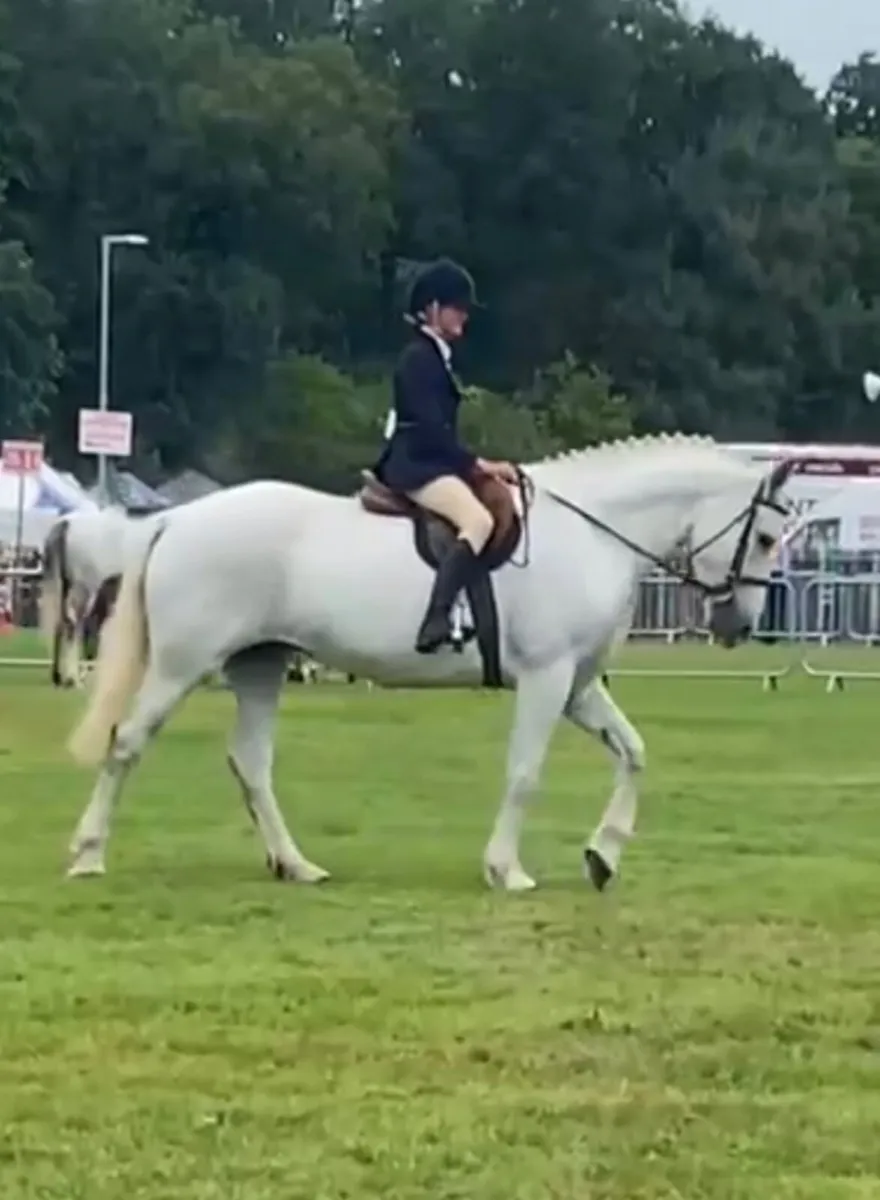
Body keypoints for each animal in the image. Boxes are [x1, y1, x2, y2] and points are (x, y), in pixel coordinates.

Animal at [40, 508, 162, 688]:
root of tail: (67, 522)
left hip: (67, 587)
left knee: (62, 624)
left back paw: (59, 677)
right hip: (84, 590)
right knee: (78, 628)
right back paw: (75, 678)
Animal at [64, 434, 794, 891]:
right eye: (763, 537)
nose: (738, 626)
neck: (593, 531)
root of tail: (176, 520)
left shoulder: (578, 686)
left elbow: (634, 753)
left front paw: (602, 857)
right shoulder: (547, 678)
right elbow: (524, 774)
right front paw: (506, 870)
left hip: (260, 666)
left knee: (250, 763)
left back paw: (296, 865)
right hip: (182, 665)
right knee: (127, 743)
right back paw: (88, 855)